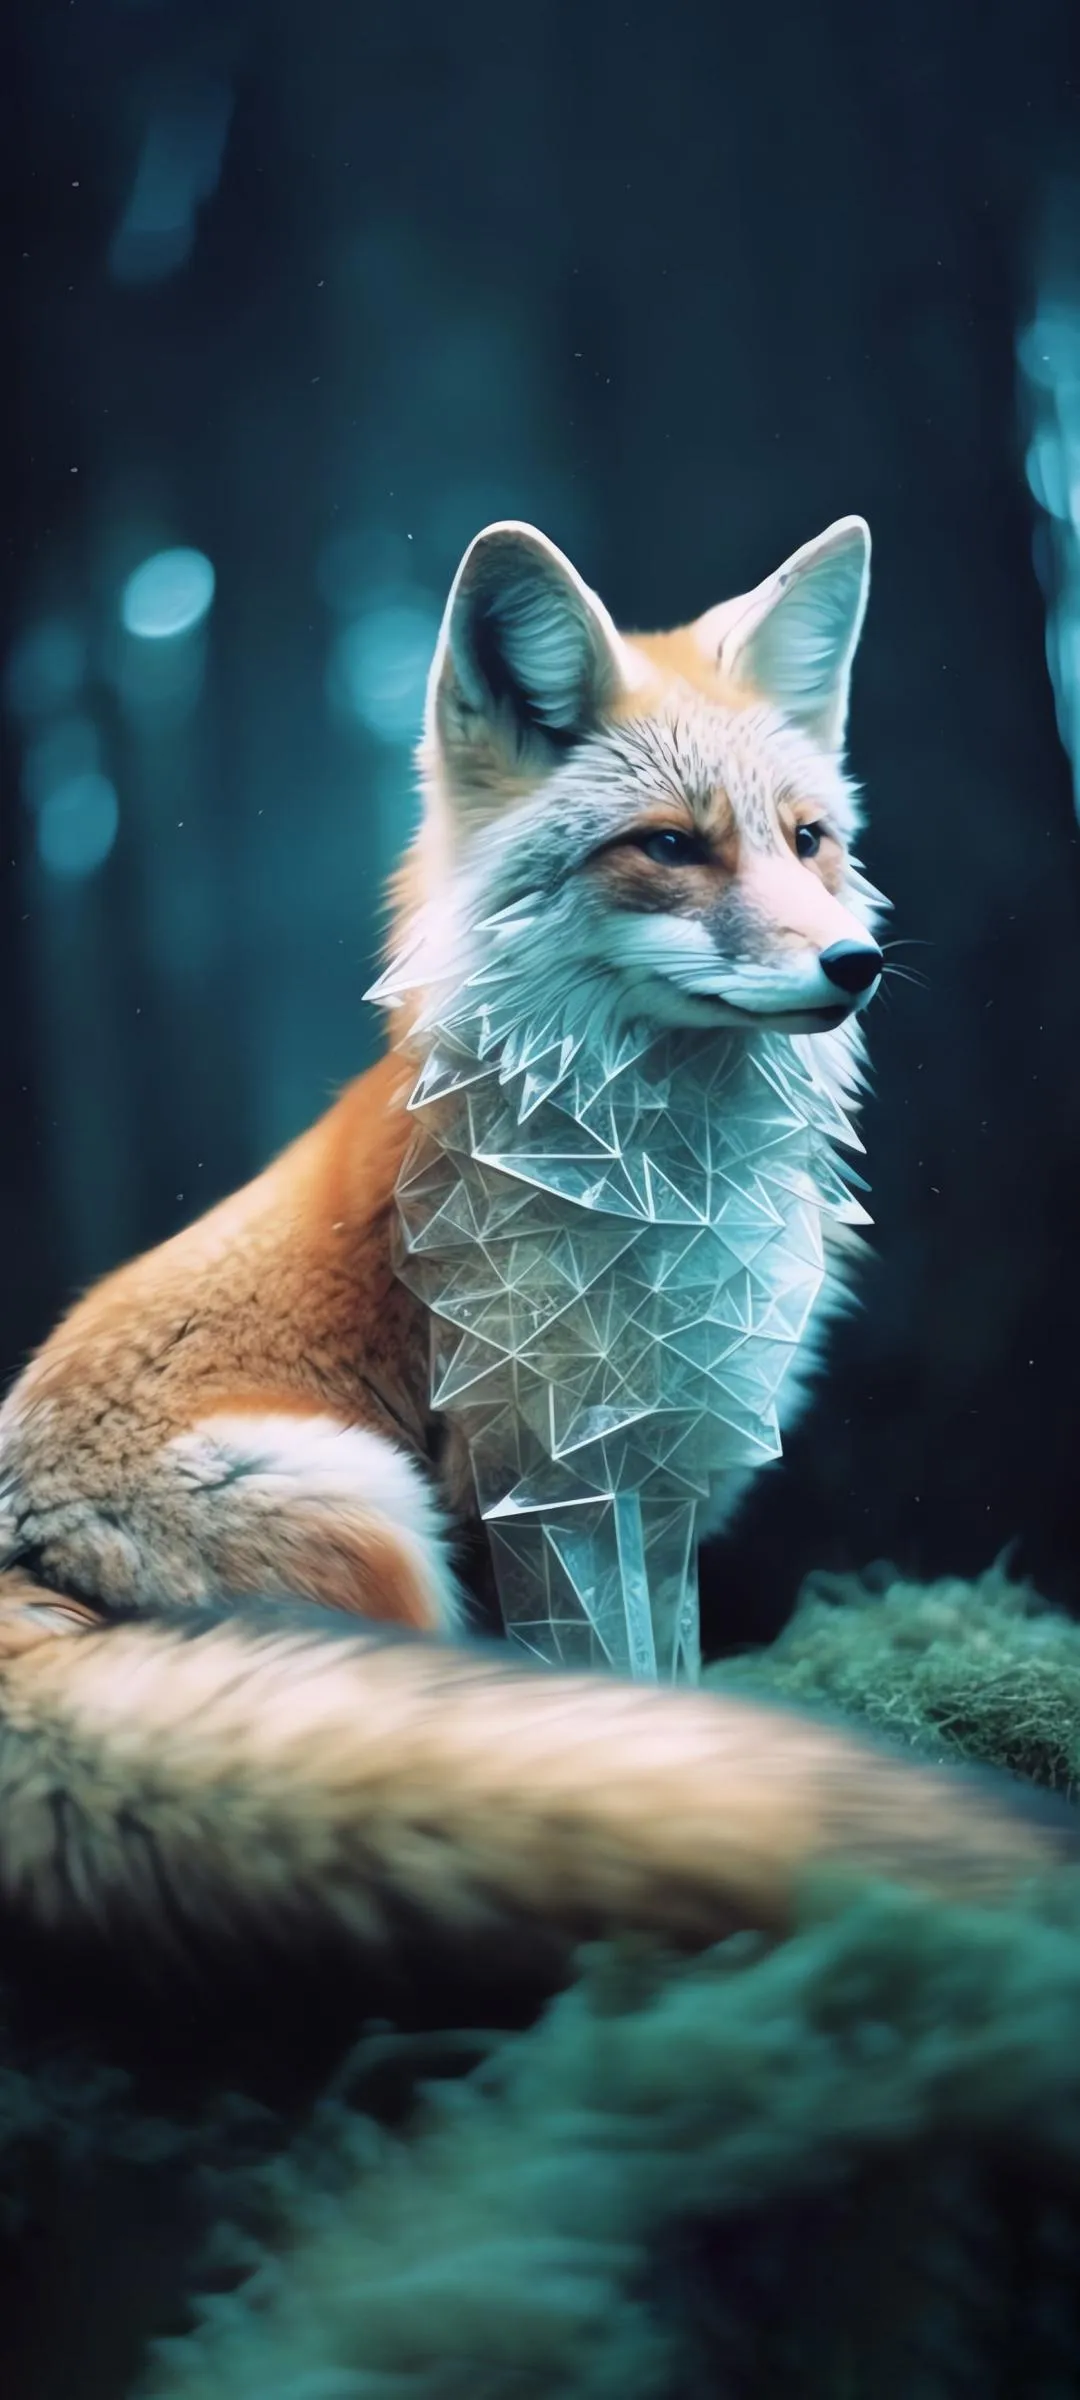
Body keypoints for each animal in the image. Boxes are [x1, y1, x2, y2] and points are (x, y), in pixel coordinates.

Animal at [0, 514, 1074, 2029]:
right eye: (670, 848)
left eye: (810, 842)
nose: (855, 962)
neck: (661, 1177)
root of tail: (24, 1562)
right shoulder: (540, 1482)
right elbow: (603, 1686)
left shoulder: (664, 1472)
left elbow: (662, 1679)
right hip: (368, 1516)